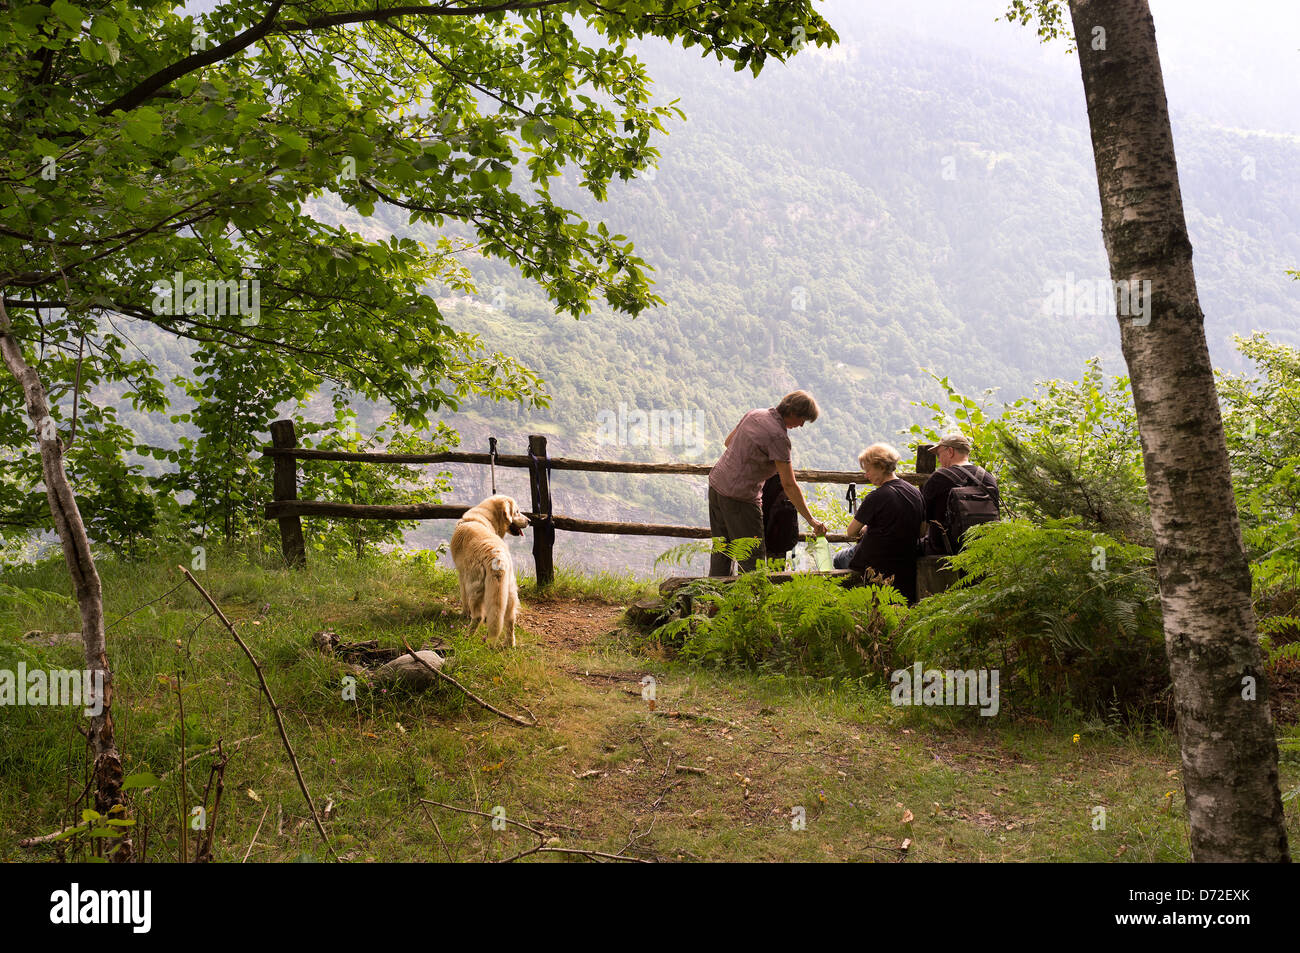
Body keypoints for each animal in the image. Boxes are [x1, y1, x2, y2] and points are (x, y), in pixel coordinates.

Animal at [449, 494, 525, 642]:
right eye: (517, 512)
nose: (529, 521)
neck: (483, 518)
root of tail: (496, 556)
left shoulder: (462, 576)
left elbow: (464, 599)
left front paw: (463, 614)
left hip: (474, 586)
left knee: (477, 616)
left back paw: (467, 637)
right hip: (509, 591)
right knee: (510, 620)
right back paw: (509, 644)